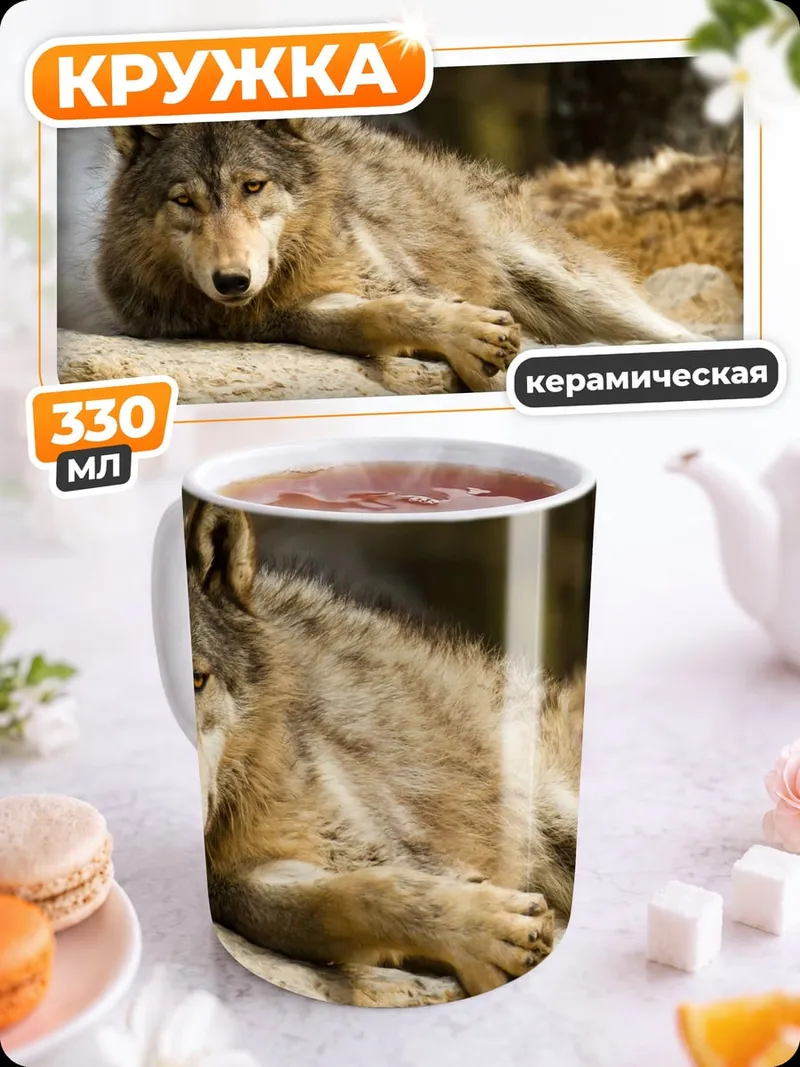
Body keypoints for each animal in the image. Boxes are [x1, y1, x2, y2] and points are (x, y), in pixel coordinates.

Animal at [98, 118, 700, 393]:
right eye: (184, 201)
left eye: (253, 187)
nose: (232, 281)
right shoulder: (297, 317)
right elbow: (383, 314)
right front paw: (468, 338)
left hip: (572, 285)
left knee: (679, 335)